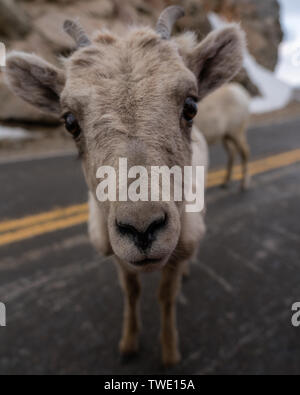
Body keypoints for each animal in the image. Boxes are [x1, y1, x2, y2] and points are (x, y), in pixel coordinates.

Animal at [4, 6, 244, 366]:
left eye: (191, 106)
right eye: (69, 121)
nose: (143, 228)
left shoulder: (177, 251)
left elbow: (166, 297)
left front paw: (169, 352)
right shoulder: (118, 256)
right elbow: (132, 293)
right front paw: (129, 344)